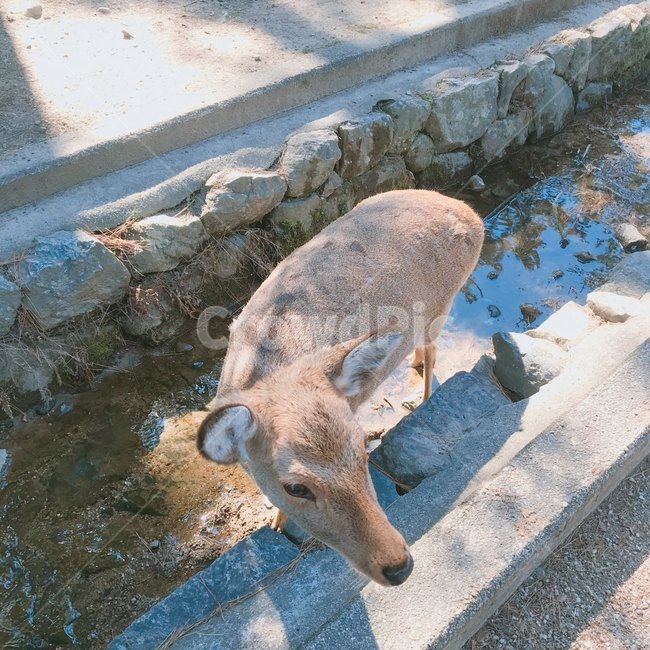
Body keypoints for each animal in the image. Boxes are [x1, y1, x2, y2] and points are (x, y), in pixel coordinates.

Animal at [197, 189, 484, 586]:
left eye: (363, 449)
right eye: (295, 487)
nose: (399, 566)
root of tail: (471, 214)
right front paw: (275, 520)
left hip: (441, 306)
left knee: (432, 348)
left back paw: (422, 399)